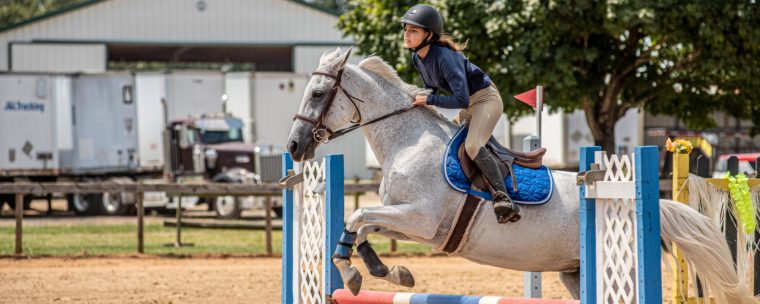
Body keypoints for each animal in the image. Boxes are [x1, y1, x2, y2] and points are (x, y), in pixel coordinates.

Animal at [286, 47, 756, 302]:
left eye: (318, 92)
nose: (293, 147)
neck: (407, 139)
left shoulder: (421, 218)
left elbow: (357, 217)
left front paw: (355, 274)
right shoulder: (409, 221)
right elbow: (363, 225)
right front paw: (387, 272)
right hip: (574, 272)